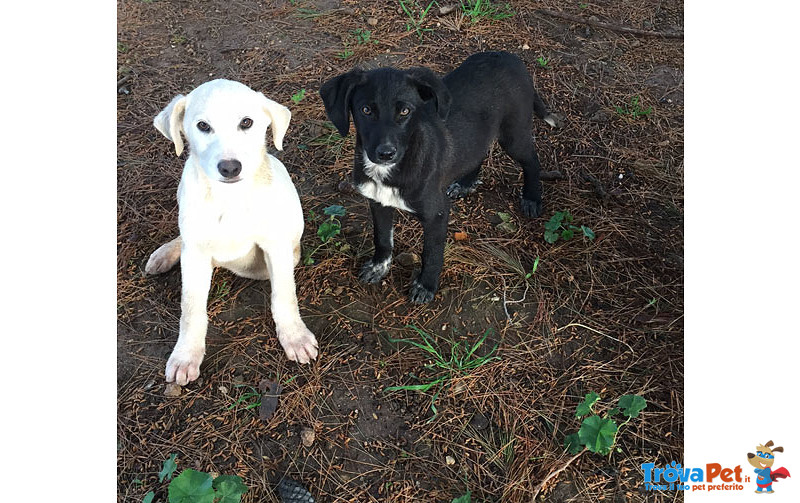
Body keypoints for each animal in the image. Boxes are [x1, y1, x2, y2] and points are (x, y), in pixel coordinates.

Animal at [145, 79, 320, 386]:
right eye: (203, 126)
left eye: (246, 122)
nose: (229, 168)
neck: (229, 198)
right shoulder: (196, 255)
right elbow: (191, 308)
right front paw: (186, 355)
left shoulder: (276, 246)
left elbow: (284, 294)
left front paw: (294, 337)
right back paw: (165, 254)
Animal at [318, 51, 556, 304]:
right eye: (366, 110)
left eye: (405, 111)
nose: (386, 153)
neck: (393, 169)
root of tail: (509, 56)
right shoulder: (378, 202)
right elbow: (382, 238)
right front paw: (378, 267)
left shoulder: (437, 214)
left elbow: (431, 253)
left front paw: (426, 286)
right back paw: (465, 184)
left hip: (514, 135)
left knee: (532, 161)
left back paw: (532, 197)